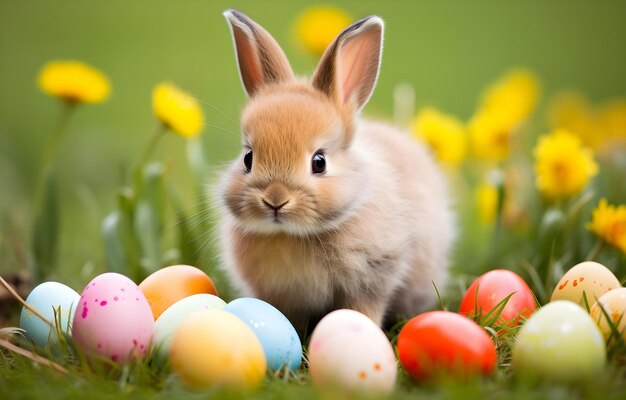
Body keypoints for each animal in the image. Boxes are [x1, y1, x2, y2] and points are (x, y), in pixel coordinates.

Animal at [214, 10, 454, 334]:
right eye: (248, 158)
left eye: (319, 162)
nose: (275, 200)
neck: (292, 235)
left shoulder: (373, 277)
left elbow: (363, 310)